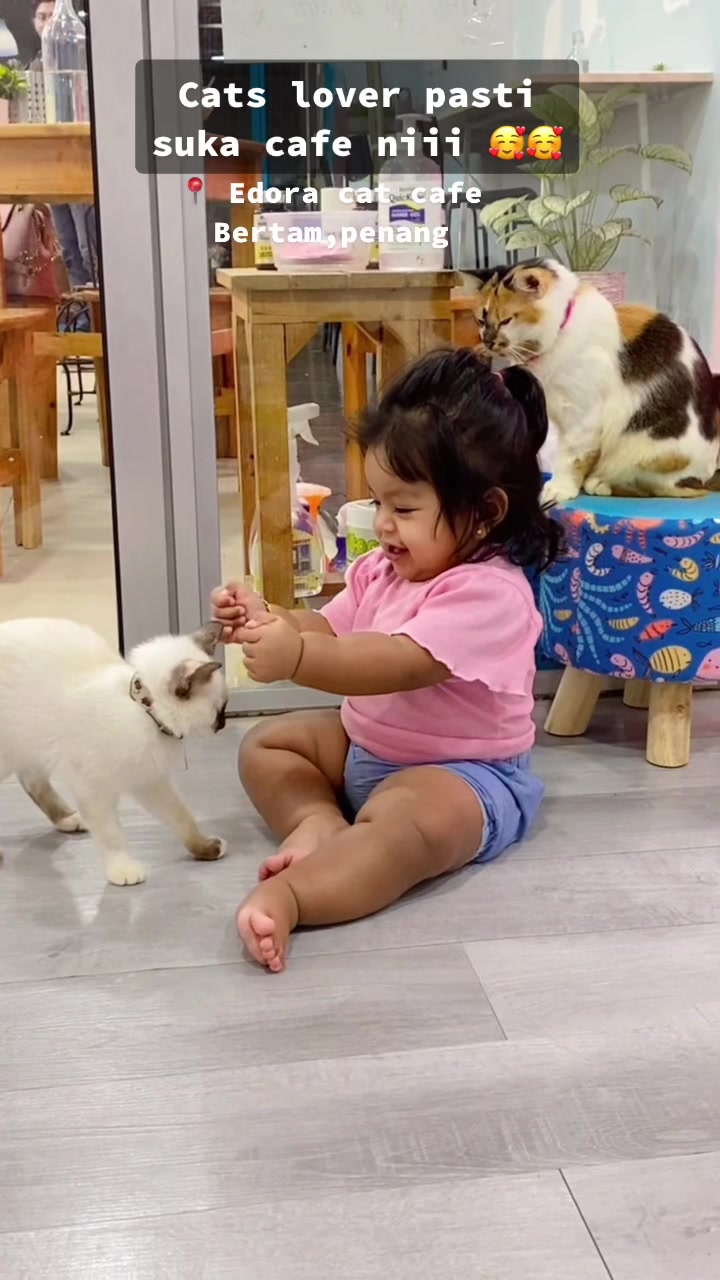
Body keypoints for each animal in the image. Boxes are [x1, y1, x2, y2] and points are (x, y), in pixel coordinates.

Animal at [0, 618, 229, 886]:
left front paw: (204, 848)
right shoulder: (94, 788)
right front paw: (122, 870)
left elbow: (182, 818)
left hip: (32, 742)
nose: (223, 724)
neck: (143, 710)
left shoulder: (148, 780)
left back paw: (68, 819)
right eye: (220, 710)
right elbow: (111, 835)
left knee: (31, 781)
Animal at [463, 258, 720, 504]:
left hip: (650, 448)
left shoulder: (583, 416)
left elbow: (572, 456)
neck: (560, 334)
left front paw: (560, 488)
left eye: (506, 320)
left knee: (667, 488)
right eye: (481, 321)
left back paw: (601, 482)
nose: (488, 342)